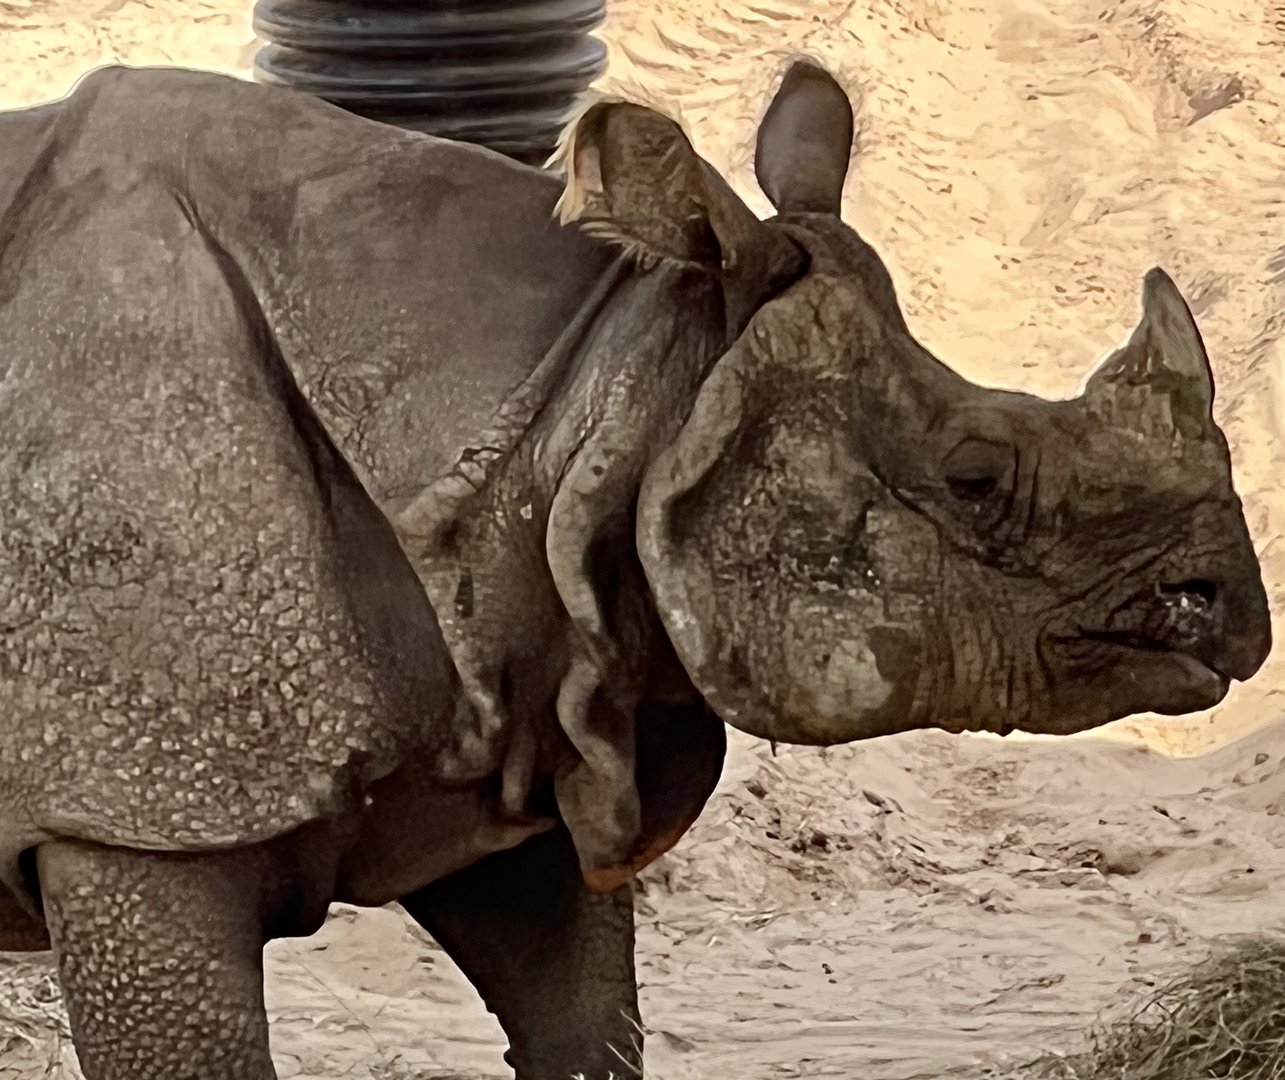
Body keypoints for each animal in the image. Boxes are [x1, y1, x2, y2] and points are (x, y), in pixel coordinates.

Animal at [0, 56, 1270, 1080]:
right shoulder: (137, 810)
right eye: (972, 475)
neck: (604, 387)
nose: (1231, 613)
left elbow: (583, 1027)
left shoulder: (518, 726)